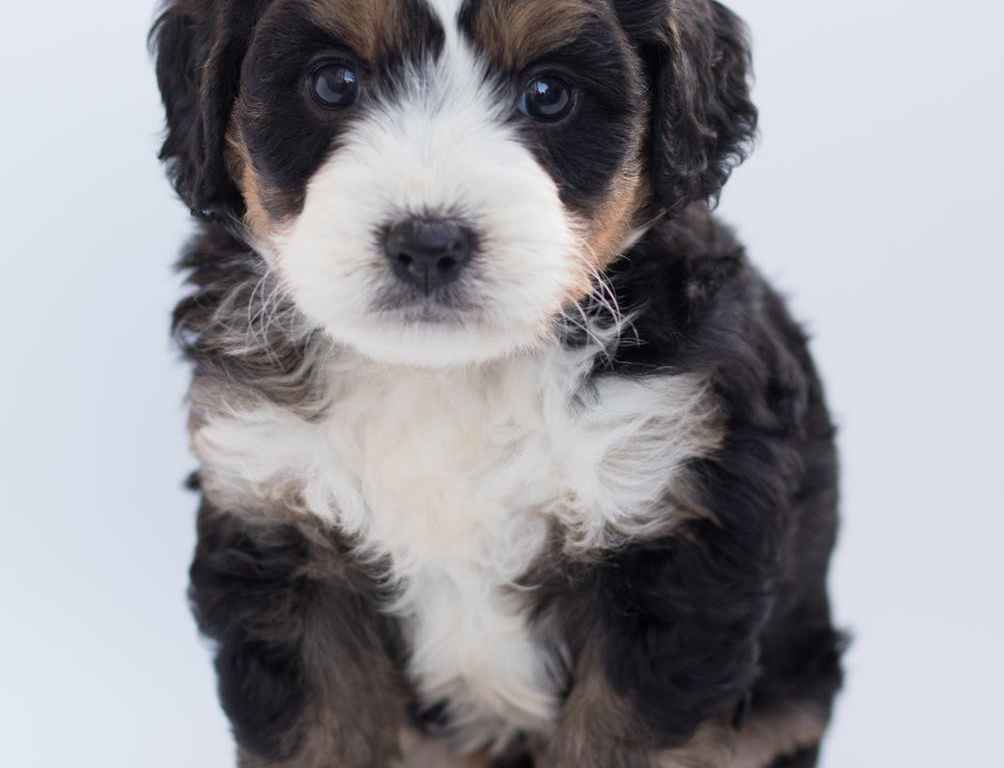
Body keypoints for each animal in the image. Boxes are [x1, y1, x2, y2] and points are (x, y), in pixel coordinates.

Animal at [152, 1, 845, 766]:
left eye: (548, 94)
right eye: (334, 83)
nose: (428, 244)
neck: (450, 377)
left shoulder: (673, 545)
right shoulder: (278, 526)